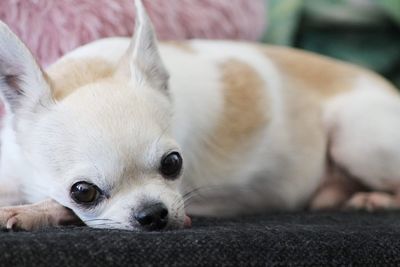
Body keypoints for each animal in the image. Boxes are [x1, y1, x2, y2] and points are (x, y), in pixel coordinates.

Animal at [0, 0, 400, 230]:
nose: (153, 214)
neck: (91, 71)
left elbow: (61, 206)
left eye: (173, 163)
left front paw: (29, 212)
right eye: (83, 191)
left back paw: (373, 199)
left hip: (355, 134)